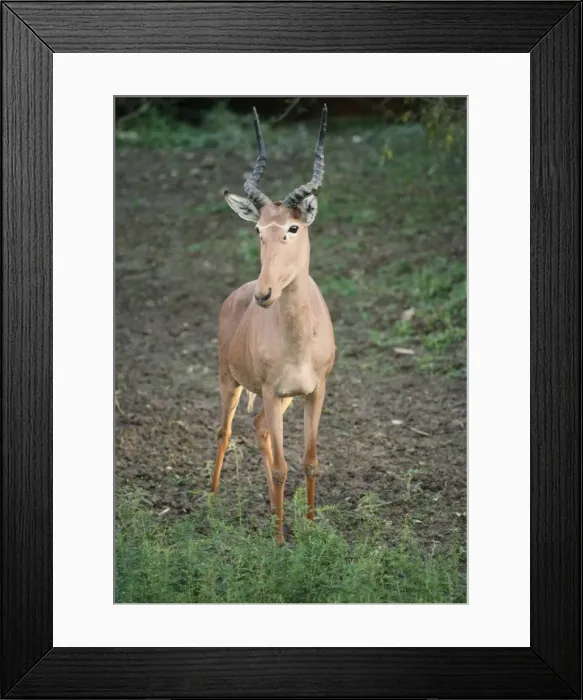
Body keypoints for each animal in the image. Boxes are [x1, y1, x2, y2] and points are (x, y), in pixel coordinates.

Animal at [211, 105, 335, 543]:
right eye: (258, 229)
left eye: (293, 227)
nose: (264, 293)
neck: (298, 340)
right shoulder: (267, 389)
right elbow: (283, 467)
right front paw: (282, 542)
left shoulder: (315, 391)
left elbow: (310, 461)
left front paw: (311, 530)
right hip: (231, 381)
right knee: (226, 431)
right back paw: (211, 502)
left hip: (280, 400)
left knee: (260, 427)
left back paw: (269, 508)